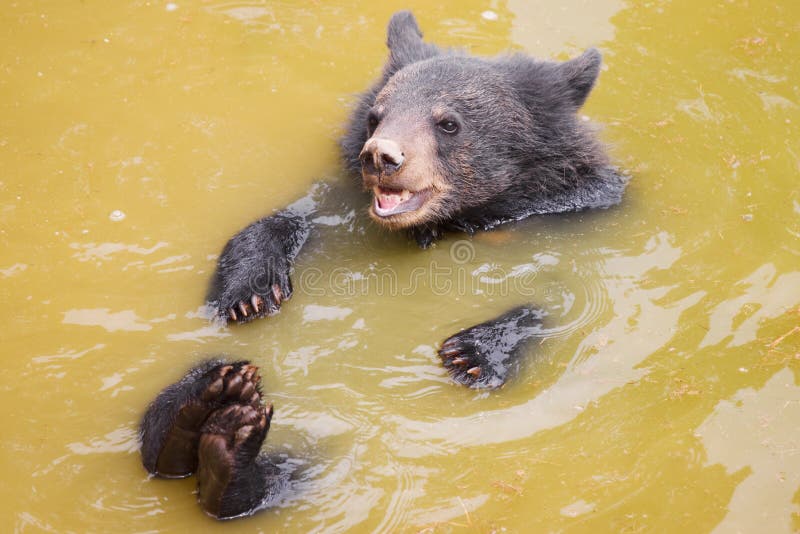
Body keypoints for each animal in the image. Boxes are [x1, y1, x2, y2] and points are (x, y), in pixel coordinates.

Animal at [206, 10, 627, 389]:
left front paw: (474, 351)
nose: (380, 156)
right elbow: (293, 218)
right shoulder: (348, 203)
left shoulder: (570, 213)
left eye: (449, 123)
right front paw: (250, 292)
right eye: (376, 116)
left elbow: (569, 293)